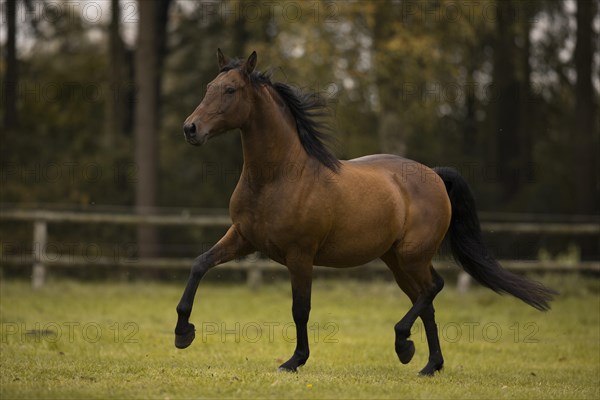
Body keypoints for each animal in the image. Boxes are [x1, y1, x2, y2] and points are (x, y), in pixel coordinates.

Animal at [175, 50, 556, 376]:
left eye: (230, 90)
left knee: (434, 287)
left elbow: (301, 309)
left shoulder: (300, 255)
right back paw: (429, 364)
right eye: (208, 87)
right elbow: (199, 264)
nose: (190, 129)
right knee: (426, 299)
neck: (277, 176)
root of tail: (434, 174)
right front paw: (183, 333)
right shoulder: (243, 237)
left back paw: (404, 345)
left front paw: (295, 360)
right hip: (397, 261)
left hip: (413, 255)